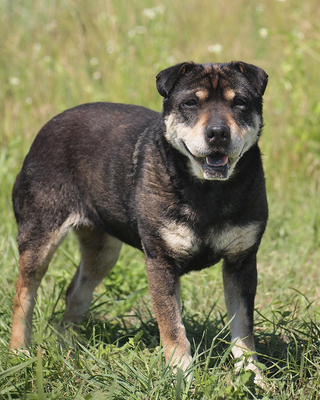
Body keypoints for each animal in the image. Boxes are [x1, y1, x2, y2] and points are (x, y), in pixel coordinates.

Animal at [10, 61, 268, 378]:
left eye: (240, 102)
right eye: (190, 103)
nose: (218, 133)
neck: (208, 191)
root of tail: (46, 127)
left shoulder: (241, 261)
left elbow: (243, 328)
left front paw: (253, 377)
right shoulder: (160, 259)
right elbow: (172, 325)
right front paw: (180, 374)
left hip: (103, 251)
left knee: (75, 292)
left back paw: (68, 345)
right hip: (40, 237)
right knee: (23, 294)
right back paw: (18, 352)